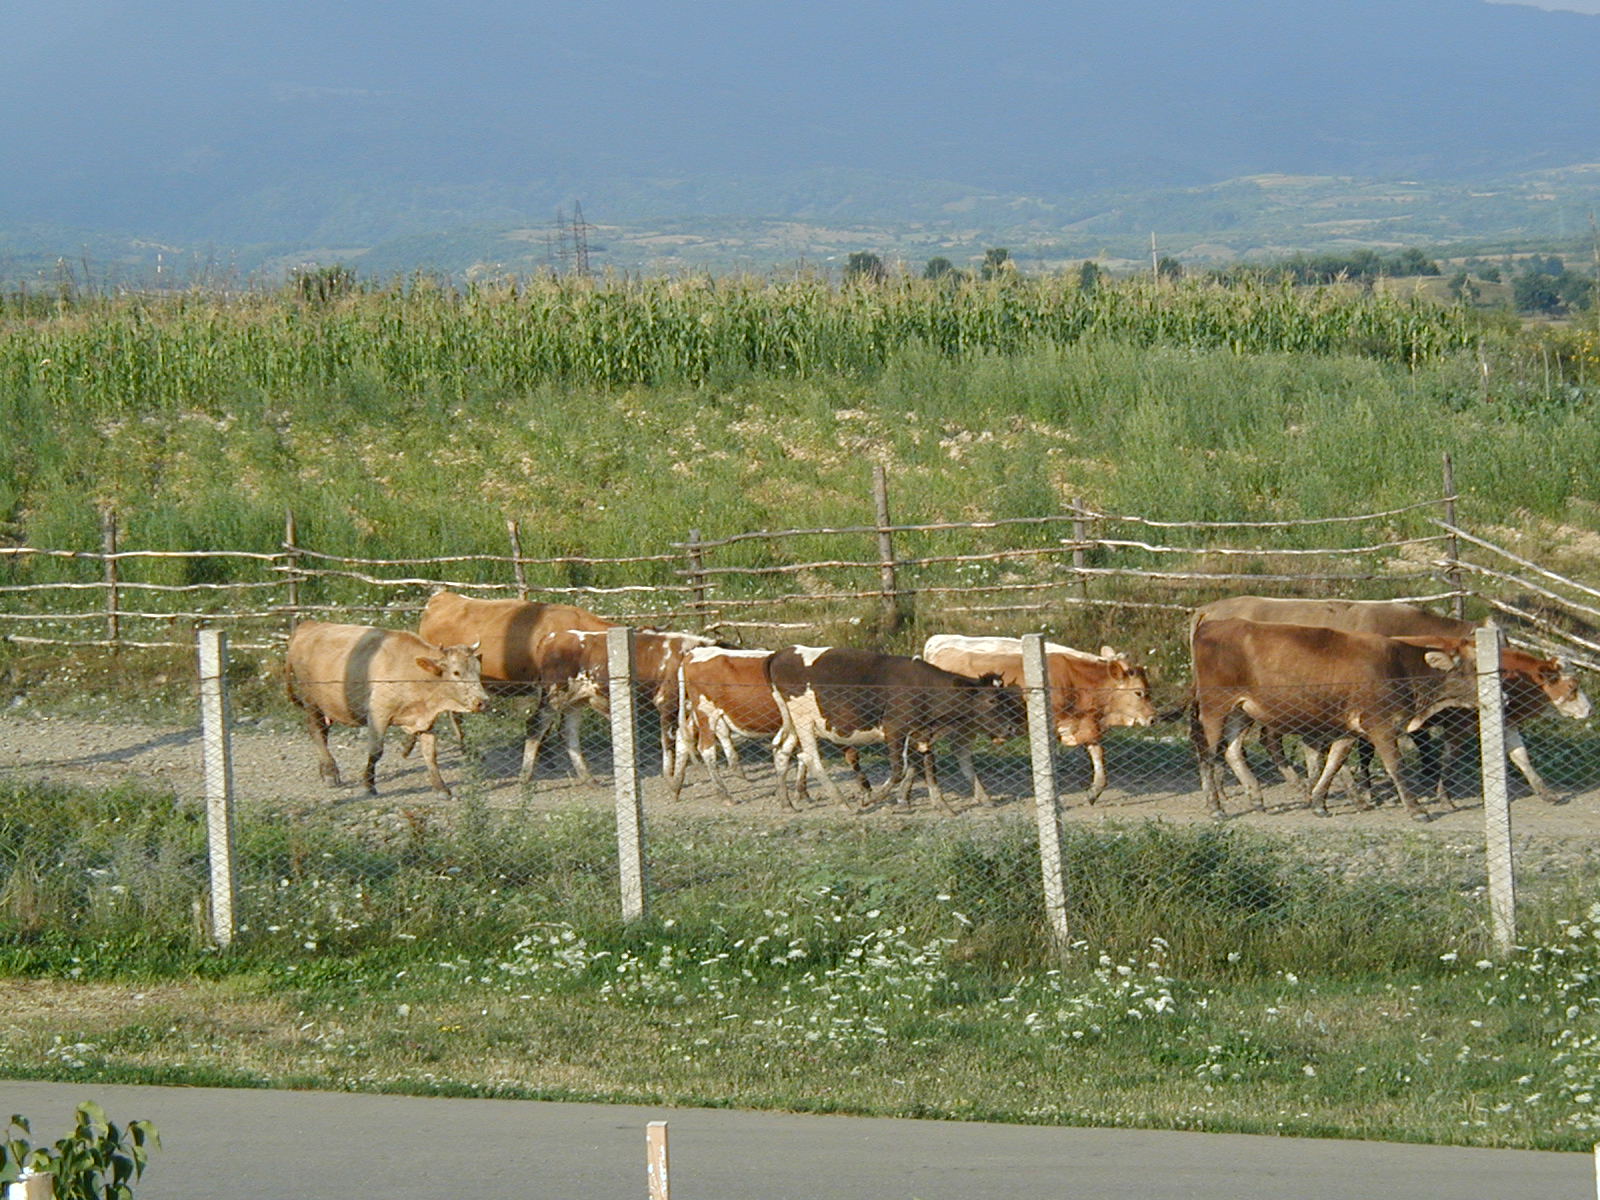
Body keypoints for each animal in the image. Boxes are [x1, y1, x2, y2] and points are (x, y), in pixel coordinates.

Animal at [286, 620, 486, 800]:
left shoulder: (426, 720)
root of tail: (308, 625)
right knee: (317, 731)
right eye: (456, 672)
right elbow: (376, 752)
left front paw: (441, 787)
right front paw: (368, 785)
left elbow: (430, 754)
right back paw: (329, 771)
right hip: (311, 700)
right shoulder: (378, 714)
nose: (483, 701)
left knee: (323, 732)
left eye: (477, 670)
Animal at [764, 649, 1024, 819]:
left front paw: (942, 805)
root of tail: (781, 653)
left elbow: (929, 768)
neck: (923, 688)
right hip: (804, 721)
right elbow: (899, 770)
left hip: (796, 723)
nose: (1012, 728)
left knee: (782, 752)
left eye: (1005, 698)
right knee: (810, 759)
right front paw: (872, 798)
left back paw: (786, 802)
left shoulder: (922, 734)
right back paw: (843, 803)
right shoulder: (895, 729)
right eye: (991, 700)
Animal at [921, 633, 1158, 803]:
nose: (1153, 719)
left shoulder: (1086, 724)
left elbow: (1098, 756)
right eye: (1139, 692)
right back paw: (936, 798)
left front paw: (1094, 792)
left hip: (964, 728)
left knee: (960, 753)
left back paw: (982, 797)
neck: (1074, 679)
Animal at [1190, 620, 1472, 825]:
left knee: (1232, 751)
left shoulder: (1349, 728)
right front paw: (1416, 810)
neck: (1400, 665)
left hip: (1242, 711)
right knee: (1207, 754)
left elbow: (1334, 763)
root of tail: (1213, 624)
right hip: (1215, 707)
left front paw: (1318, 803)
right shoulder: (1381, 725)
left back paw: (1257, 798)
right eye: (1472, 665)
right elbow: (1395, 766)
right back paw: (1215, 808)